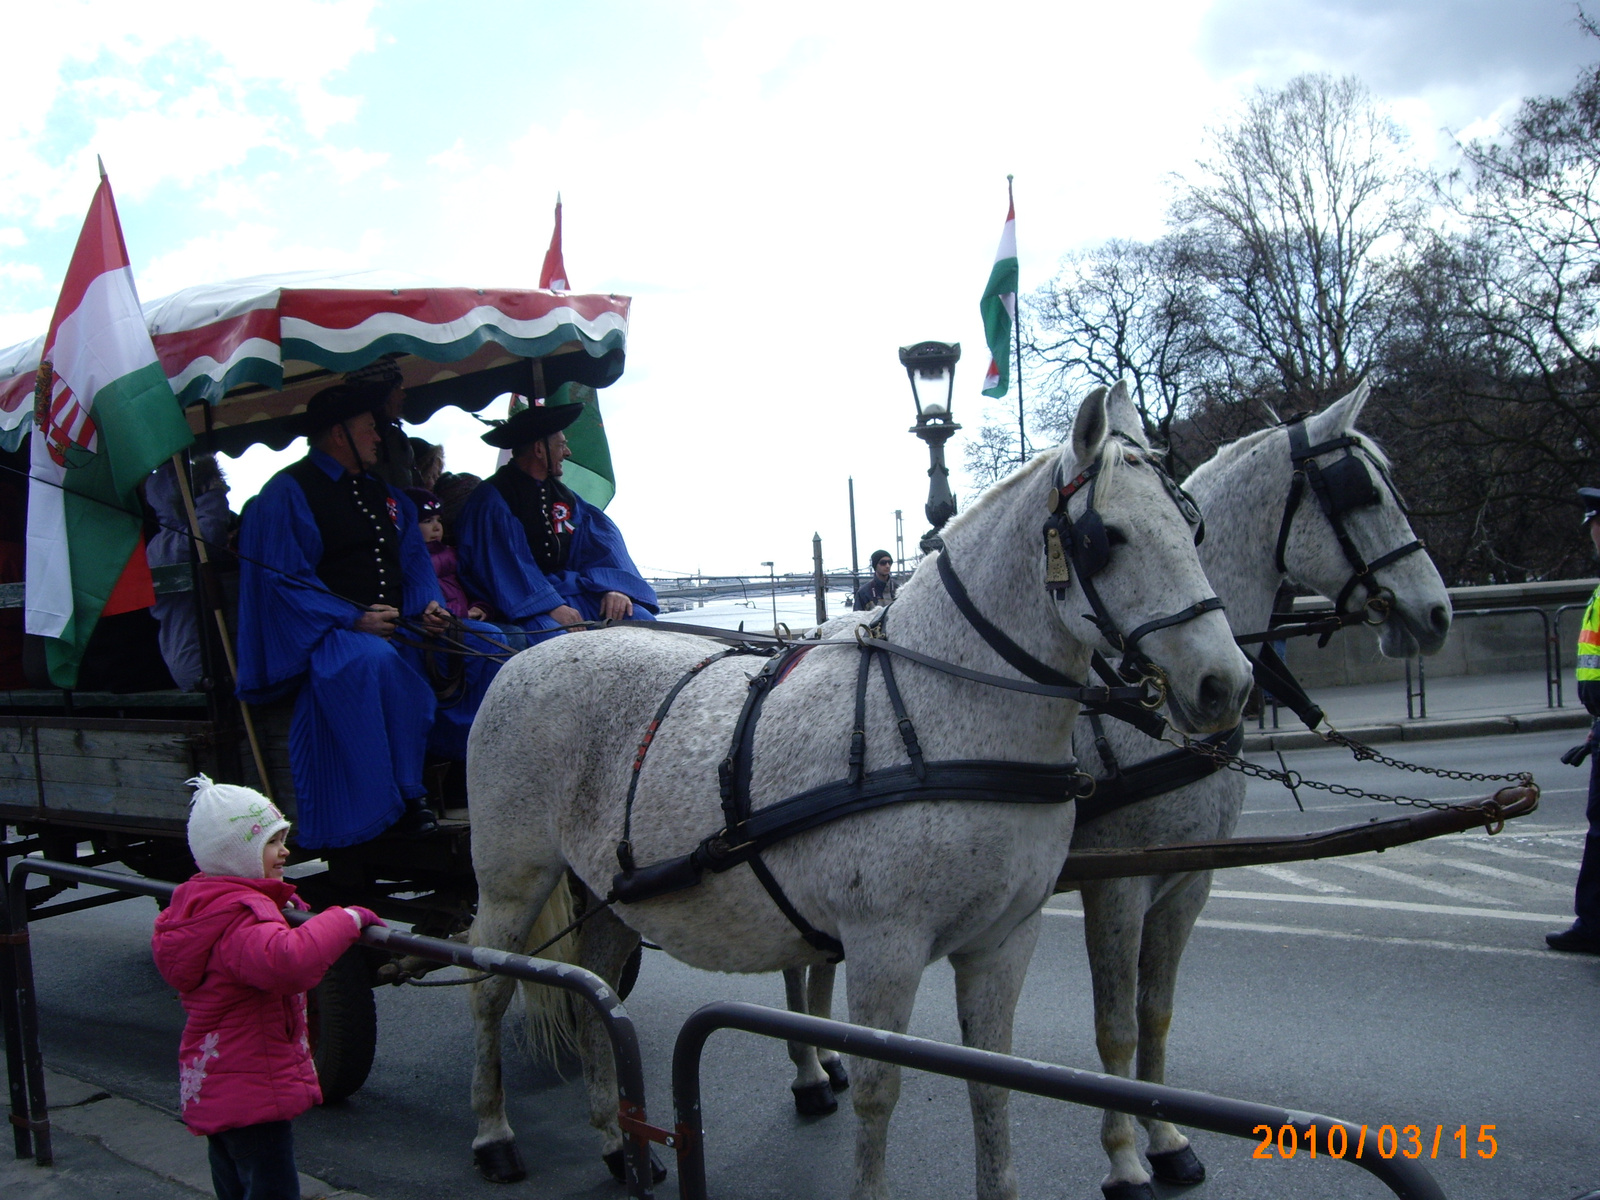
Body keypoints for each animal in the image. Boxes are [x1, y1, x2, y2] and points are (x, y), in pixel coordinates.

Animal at [464, 385, 1248, 1200]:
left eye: (1193, 525)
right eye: (1108, 538)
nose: (1226, 684)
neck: (941, 713)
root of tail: (526, 654)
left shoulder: (1004, 939)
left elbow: (994, 1083)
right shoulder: (885, 945)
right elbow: (878, 1090)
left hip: (616, 890)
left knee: (592, 990)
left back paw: (619, 1140)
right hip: (514, 877)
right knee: (488, 985)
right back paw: (494, 1133)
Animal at [1062, 387, 1452, 1200]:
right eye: (1363, 493)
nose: (1437, 613)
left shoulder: (1188, 879)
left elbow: (1155, 1013)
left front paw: (1168, 1140)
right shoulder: (1116, 883)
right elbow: (1115, 1025)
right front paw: (1123, 1159)